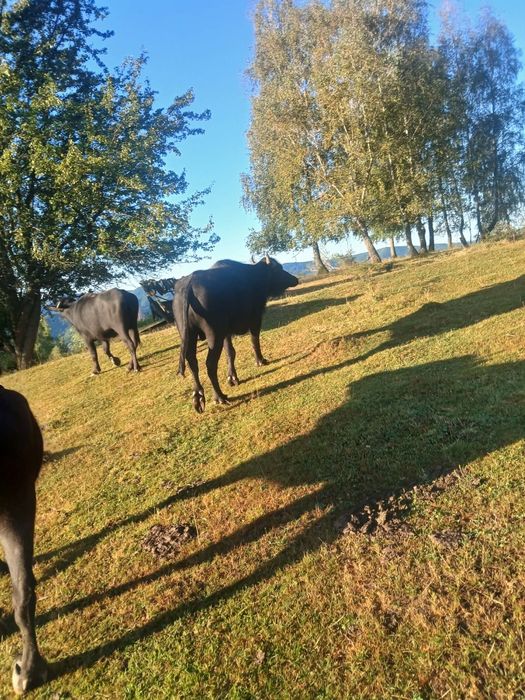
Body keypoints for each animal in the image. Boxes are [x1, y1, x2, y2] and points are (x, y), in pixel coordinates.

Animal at [173, 256, 298, 412]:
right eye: (279, 268)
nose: (295, 279)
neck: (256, 277)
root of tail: (189, 283)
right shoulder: (255, 319)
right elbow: (254, 341)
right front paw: (260, 360)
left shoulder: (226, 332)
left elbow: (230, 353)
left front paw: (232, 378)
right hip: (214, 335)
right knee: (210, 364)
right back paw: (219, 397)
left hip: (190, 336)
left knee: (192, 364)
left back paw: (198, 397)